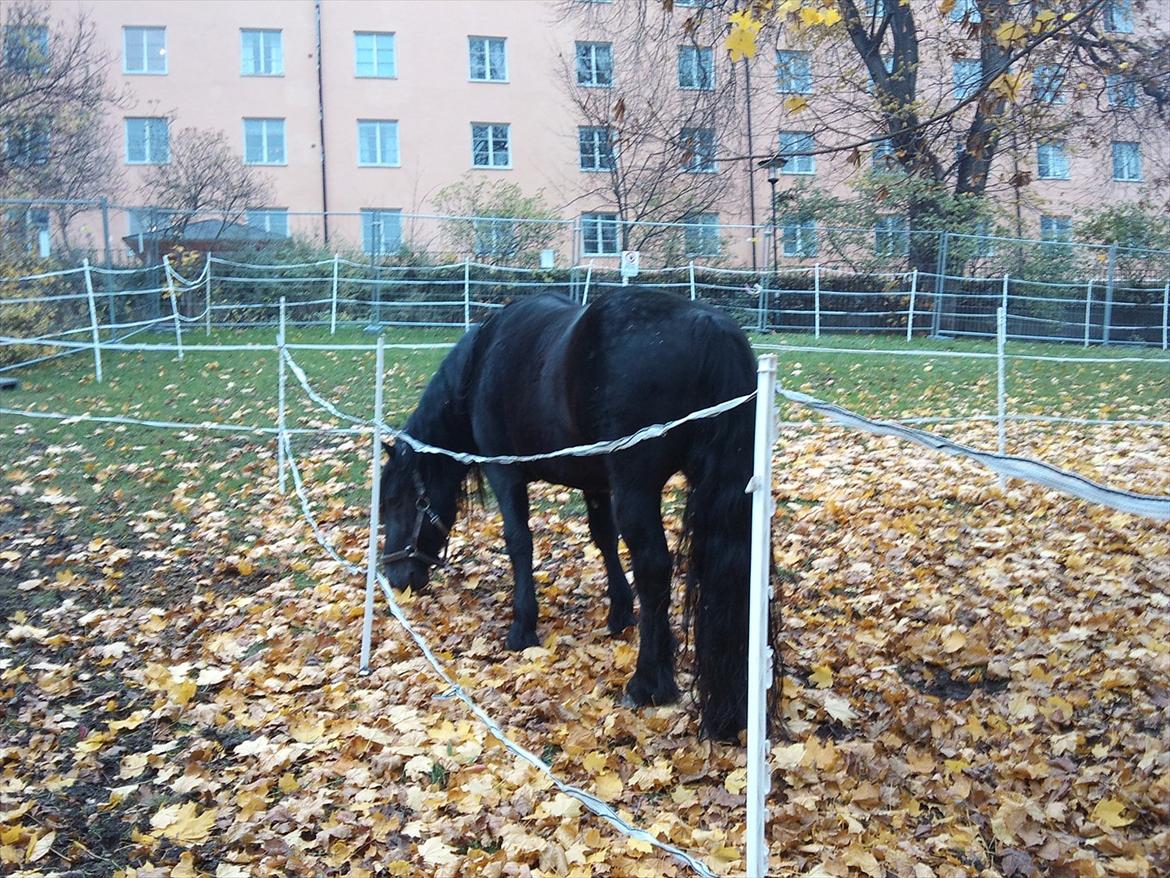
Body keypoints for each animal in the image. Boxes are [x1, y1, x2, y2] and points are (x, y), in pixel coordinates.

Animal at [379, 289, 753, 744]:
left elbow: (519, 542)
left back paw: (647, 682)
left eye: (395, 501)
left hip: (637, 489)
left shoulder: (505, 472)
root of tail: (708, 327)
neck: (482, 361)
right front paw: (619, 613)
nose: (396, 577)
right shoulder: (596, 481)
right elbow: (603, 538)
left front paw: (522, 628)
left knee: (653, 569)